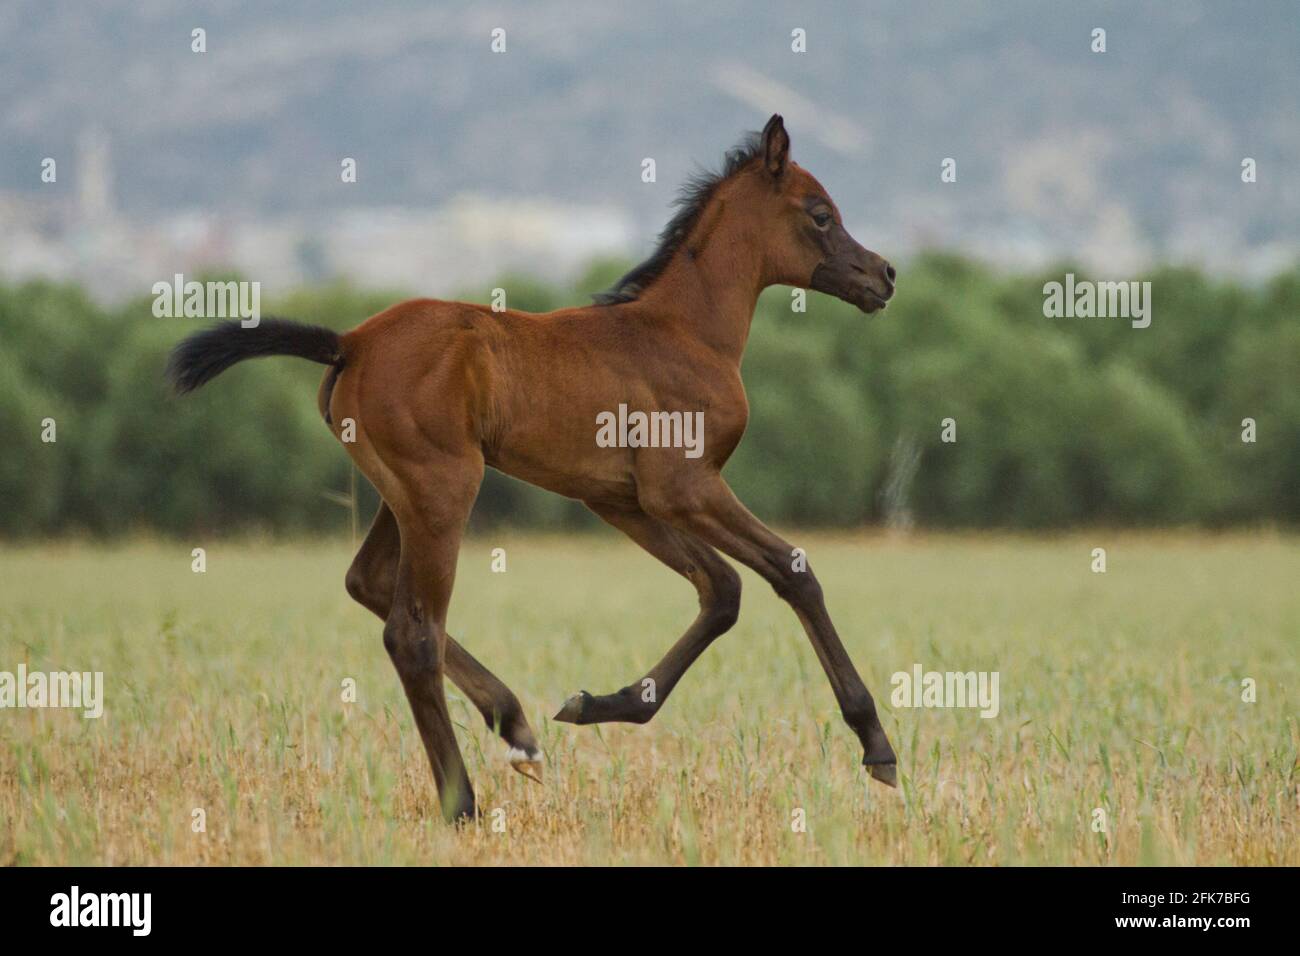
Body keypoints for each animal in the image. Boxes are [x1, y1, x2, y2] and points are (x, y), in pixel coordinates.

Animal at [168, 115, 899, 822]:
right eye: (821, 214)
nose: (884, 275)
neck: (686, 333)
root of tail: (348, 342)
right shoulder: (684, 487)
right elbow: (790, 571)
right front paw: (877, 746)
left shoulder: (624, 500)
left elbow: (721, 590)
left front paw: (597, 704)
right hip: (444, 489)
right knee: (412, 633)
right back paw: (463, 803)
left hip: (402, 494)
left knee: (367, 582)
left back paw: (516, 727)